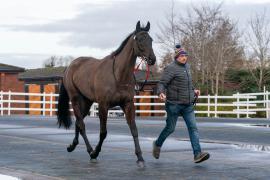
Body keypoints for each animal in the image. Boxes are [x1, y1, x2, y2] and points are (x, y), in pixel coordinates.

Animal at [57, 20, 157, 167]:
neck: (118, 75)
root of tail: (70, 66)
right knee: (81, 124)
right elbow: (103, 133)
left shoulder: (128, 104)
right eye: (139, 39)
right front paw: (95, 153)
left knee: (78, 122)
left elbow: (134, 130)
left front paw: (140, 158)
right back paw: (90, 150)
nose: (152, 59)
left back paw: (72, 145)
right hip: (75, 99)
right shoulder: (103, 106)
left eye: (151, 39)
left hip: (87, 101)